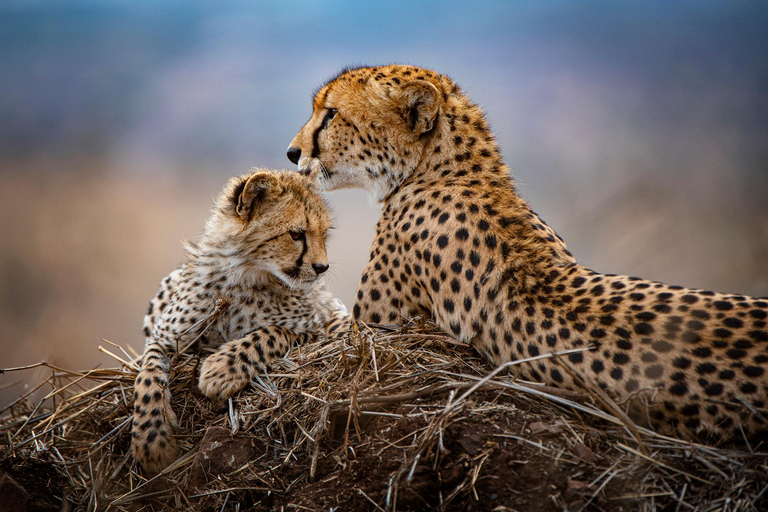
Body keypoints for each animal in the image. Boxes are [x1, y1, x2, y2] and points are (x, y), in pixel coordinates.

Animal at [133, 169, 348, 472]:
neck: (243, 277)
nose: (322, 267)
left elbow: (270, 334)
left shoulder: (317, 328)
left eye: (324, 233)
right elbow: (147, 378)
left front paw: (219, 371)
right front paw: (151, 440)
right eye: (296, 234)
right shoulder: (163, 337)